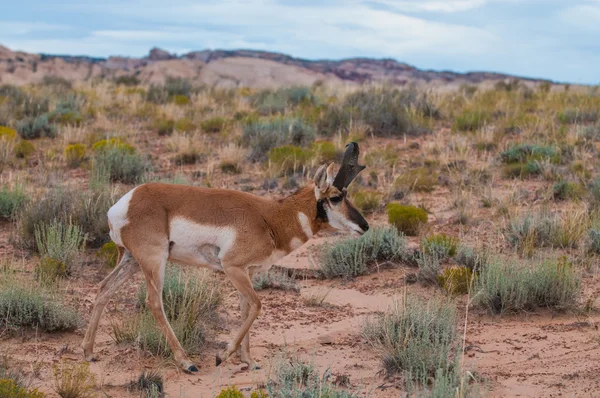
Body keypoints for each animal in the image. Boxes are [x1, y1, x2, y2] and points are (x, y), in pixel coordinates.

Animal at [81, 141, 368, 372]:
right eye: (335, 197)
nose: (365, 226)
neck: (271, 217)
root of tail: (125, 202)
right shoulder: (232, 268)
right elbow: (257, 305)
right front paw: (223, 355)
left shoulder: (247, 272)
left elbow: (246, 308)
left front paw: (249, 362)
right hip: (154, 262)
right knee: (154, 302)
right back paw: (186, 362)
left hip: (130, 260)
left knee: (104, 288)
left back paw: (89, 352)